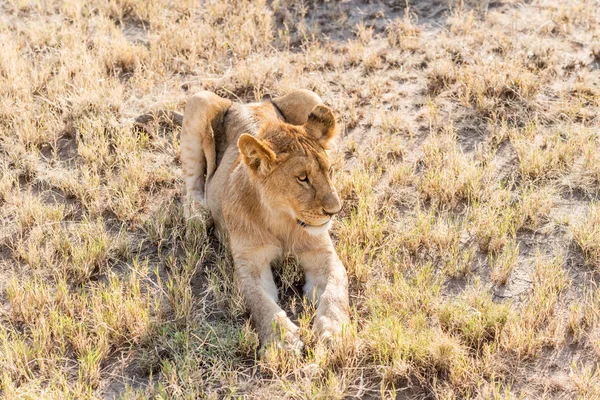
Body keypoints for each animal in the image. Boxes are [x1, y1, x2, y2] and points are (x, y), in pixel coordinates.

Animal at [182, 89, 352, 352]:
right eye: (302, 178)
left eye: (329, 171)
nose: (335, 210)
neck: (282, 220)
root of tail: (248, 104)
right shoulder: (251, 264)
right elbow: (262, 304)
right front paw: (284, 341)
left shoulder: (322, 255)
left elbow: (336, 290)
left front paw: (334, 334)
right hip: (199, 99)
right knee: (192, 181)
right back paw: (197, 215)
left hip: (309, 95)